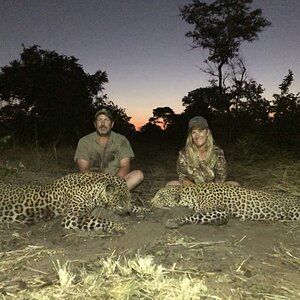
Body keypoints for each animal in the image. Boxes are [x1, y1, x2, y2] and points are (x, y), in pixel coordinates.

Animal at [0, 172, 132, 233]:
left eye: (129, 199)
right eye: (121, 202)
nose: (128, 212)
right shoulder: (72, 217)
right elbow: (100, 220)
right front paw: (119, 226)